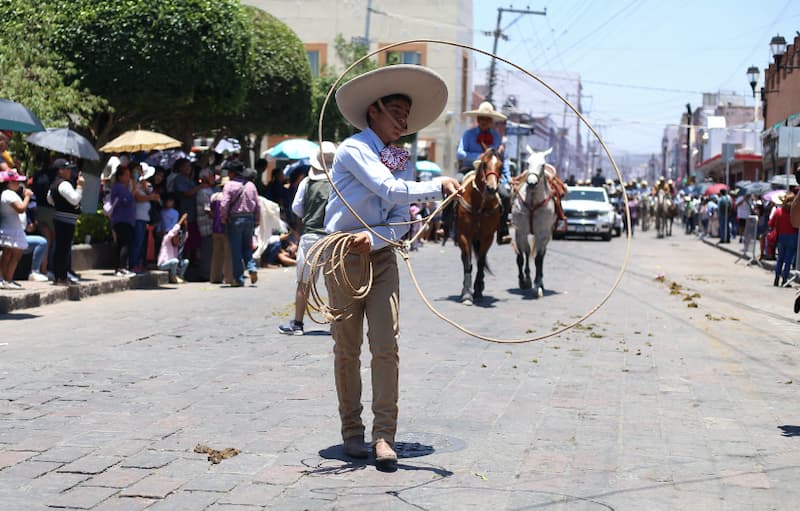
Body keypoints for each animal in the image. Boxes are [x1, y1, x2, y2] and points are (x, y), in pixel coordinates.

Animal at [456, 149, 500, 308]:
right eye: (484, 164)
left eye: (500, 165)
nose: (492, 189)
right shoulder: (464, 235)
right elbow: (468, 263)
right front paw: (467, 294)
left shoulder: (488, 236)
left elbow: (480, 262)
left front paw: (478, 290)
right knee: (464, 259)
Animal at [510, 146, 560, 298]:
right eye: (527, 163)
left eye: (543, 165)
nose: (531, 183)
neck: (532, 202)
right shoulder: (520, 231)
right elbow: (521, 257)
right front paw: (524, 281)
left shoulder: (542, 234)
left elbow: (538, 259)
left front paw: (537, 285)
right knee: (527, 253)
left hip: (547, 235)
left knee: (541, 256)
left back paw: (540, 282)